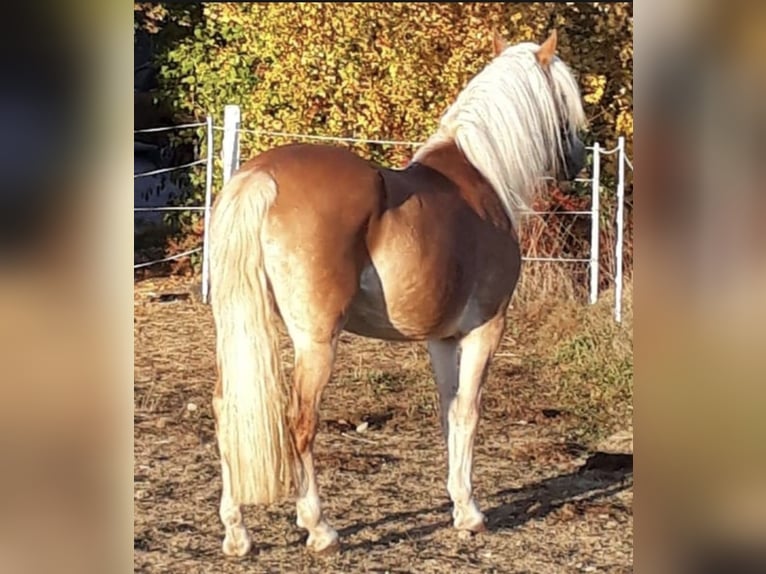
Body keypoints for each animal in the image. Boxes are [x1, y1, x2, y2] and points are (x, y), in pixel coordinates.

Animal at [208, 30, 588, 560]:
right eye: (565, 96)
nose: (578, 158)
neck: (481, 181)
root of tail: (260, 177)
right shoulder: (486, 329)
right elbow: (469, 413)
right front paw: (471, 515)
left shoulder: (441, 340)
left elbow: (449, 414)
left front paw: (458, 503)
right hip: (315, 341)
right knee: (300, 421)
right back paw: (320, 530)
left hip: (237, 328)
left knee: (228, 413)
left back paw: (236, 534)